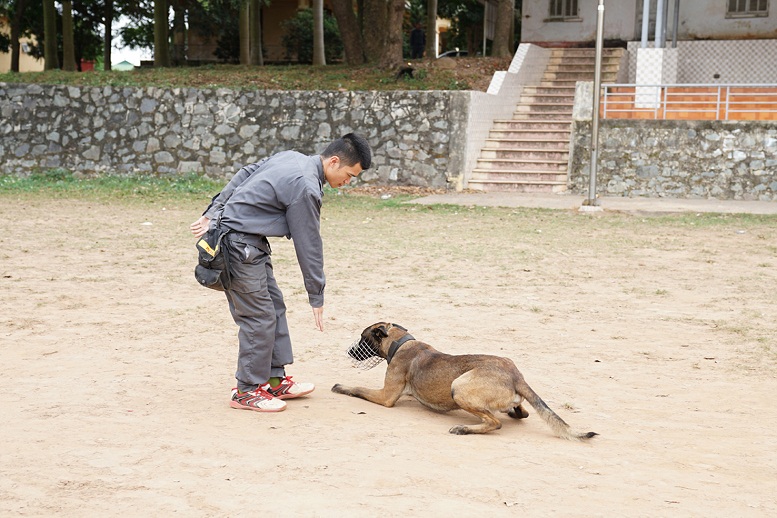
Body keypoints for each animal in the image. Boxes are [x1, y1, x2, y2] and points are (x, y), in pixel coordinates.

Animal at [330, 322, 596, 440]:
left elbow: (358, 388)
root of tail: (516, 375)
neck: (400, 342)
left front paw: (341, 386)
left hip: (458, 387)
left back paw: (464, 428)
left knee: (494, 423)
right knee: (522, 412)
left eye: (362, 338)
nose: (349, 352)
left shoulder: (385, 397)